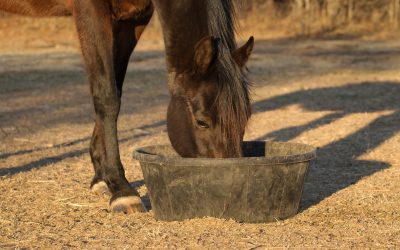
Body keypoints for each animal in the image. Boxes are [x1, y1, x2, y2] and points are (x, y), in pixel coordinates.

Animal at [0, 0, 255, 215]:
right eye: (202, 122)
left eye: (245, 119)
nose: (232, 186)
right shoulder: (91, 10)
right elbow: (107, 94)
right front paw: (122, 190)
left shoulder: (132, 19)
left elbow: (116, 86)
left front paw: (101, 177)